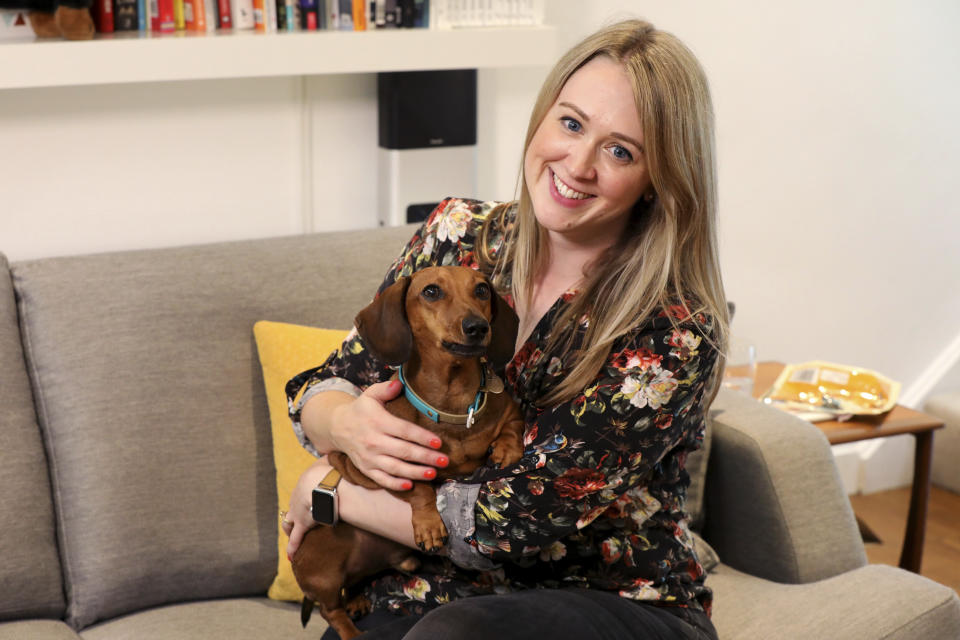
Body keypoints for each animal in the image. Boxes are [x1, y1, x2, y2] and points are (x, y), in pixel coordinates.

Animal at [292, 266, 524, 640]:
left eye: (482, 290)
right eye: (431, 291)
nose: (477, 327)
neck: (453, 402)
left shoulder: (509, 411)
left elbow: (511, 426)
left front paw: (506, 448)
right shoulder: (388, 461)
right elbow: (421, 488)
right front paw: (429, 524)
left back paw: (357, 600)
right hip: (322, 572)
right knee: (330, 609)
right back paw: (352, 631)